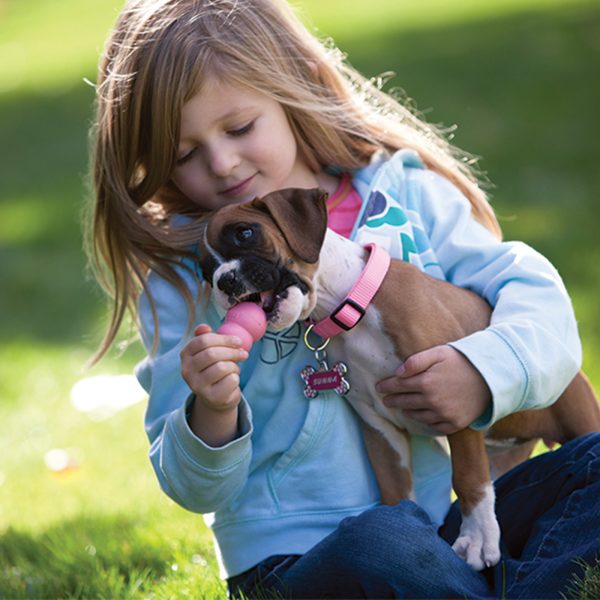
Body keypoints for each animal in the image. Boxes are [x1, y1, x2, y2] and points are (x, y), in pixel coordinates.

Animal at [198, 190, 600, 568]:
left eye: (245, 233)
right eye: (205, 272)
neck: (352, 303)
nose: (225, 281)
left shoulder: (455, 403)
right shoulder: (380, 430)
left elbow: (468, 477)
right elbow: (395, 492)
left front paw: (476, 540)